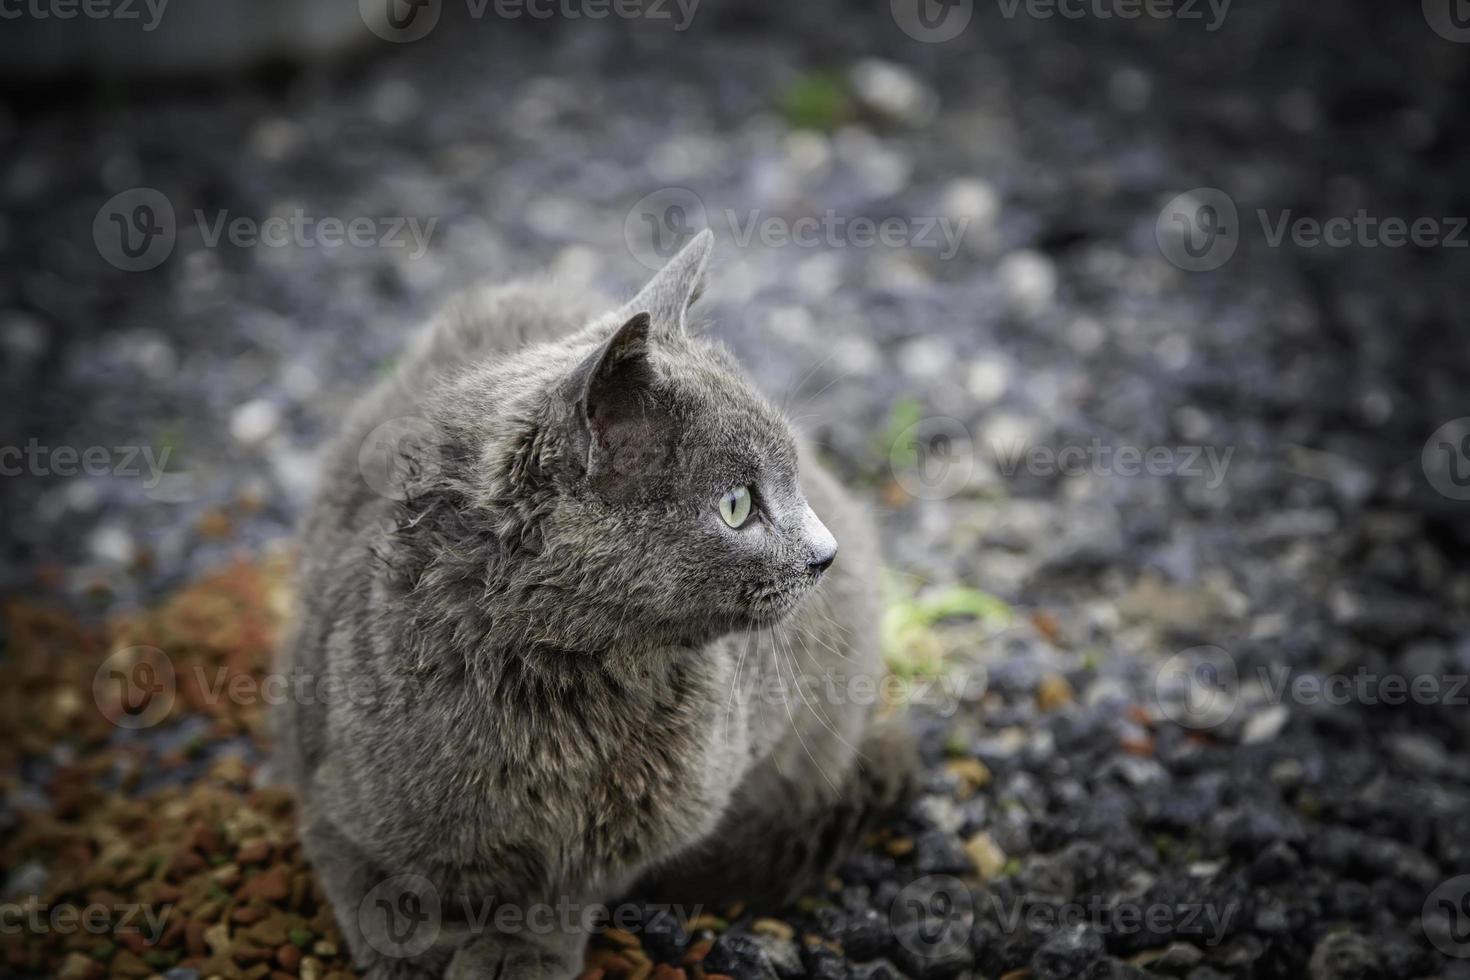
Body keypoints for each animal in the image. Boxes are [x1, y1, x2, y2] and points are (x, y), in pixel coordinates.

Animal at [271, 232, 911, 980]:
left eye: (794, 476)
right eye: (736, 505)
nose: (825, 553)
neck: (557, 701)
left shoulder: (667, 817)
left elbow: (568, 888)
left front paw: (519, 952)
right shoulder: (329, 795)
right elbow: (376, 893)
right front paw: (417, 954)